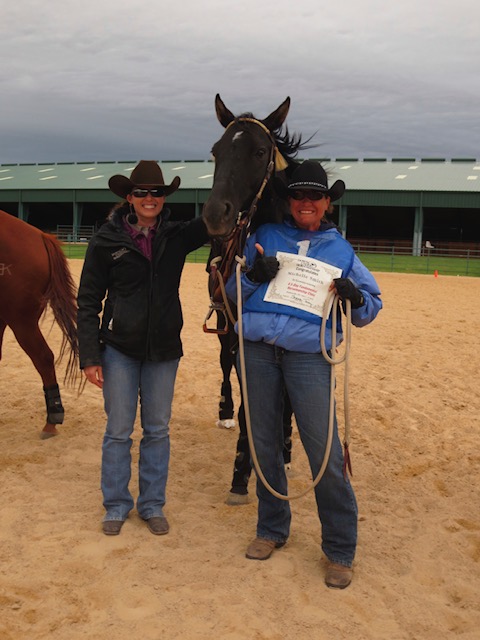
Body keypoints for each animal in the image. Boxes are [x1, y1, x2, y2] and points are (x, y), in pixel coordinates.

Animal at [203, 95, 312, 504]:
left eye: (260, 151)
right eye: (216, 151)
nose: (215, 214)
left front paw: (284, 448)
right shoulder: (241, 333)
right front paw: (242, 472)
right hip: (223, 321)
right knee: (224, 364)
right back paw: (224, 410)